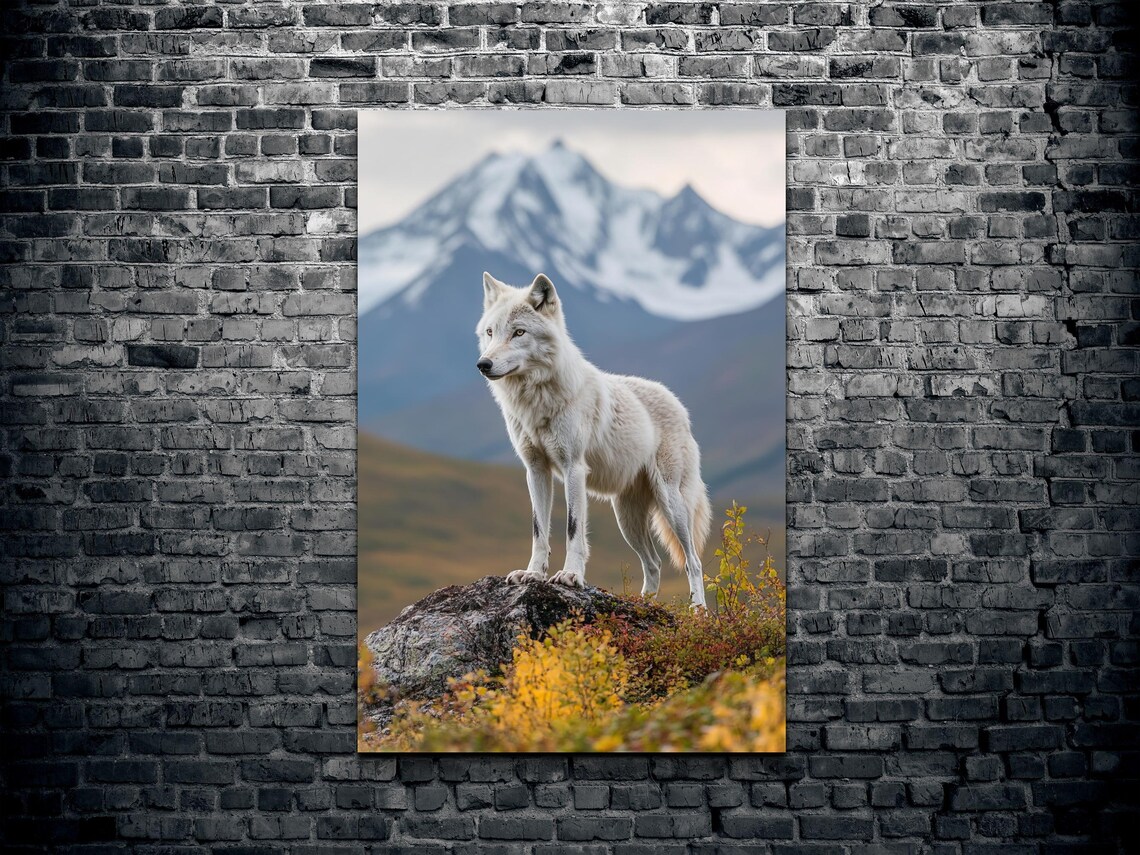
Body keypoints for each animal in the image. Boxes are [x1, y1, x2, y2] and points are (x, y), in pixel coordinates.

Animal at [476, 271, 712, 608]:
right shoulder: (535, 470)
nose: (483, 364)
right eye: (490, 332)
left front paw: (570, 575)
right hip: (626, 520)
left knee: (693, 560)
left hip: (671, 504)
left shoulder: (573, 468)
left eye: (519, 332)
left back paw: (698, 609)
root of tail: (679, 405)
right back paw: (643, 603)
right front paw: (532, 574)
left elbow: (573, 529)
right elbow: (538, 531)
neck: (536, 400)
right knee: (653, 563)